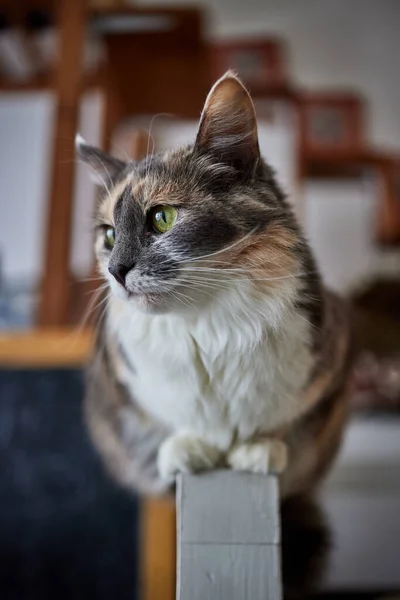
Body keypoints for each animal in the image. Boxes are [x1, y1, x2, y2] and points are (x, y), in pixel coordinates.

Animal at [77, 72, 354, 500]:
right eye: (109, 234)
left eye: (162, 217)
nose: (115, 270)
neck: (205, 326)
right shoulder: (117, 386)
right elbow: (166, 422)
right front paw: (188, 448)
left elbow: (282, 423)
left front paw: (259, 449)